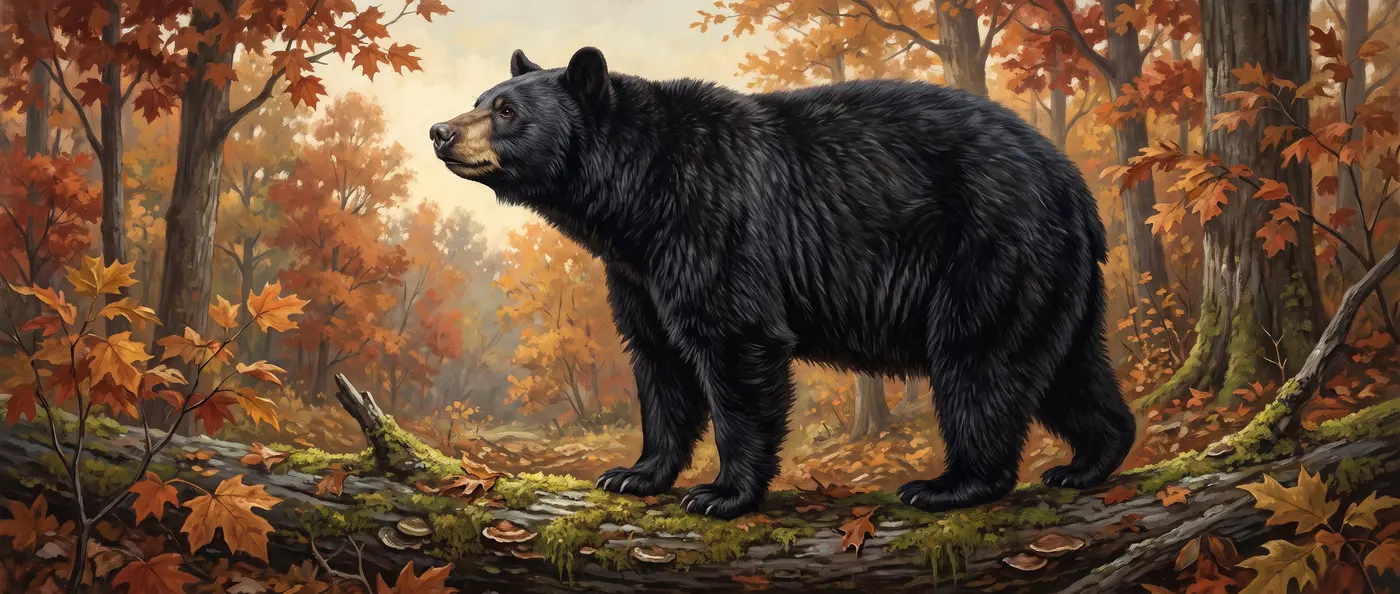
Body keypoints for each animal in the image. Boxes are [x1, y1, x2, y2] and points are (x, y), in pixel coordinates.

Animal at [429, 46, 1137, 520]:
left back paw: (950, 485)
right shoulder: (638, 272)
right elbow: (659, 361)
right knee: (1066, 367)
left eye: (506, 110)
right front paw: (636, 473)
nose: (440, 130)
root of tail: (1076, 188)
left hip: (991, 252)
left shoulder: (713, 228)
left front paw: (721, 492)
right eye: (482, 96)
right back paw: (1089, 461)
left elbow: (735, 346)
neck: (637, 197)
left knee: (979, 362)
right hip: (1057, 280)